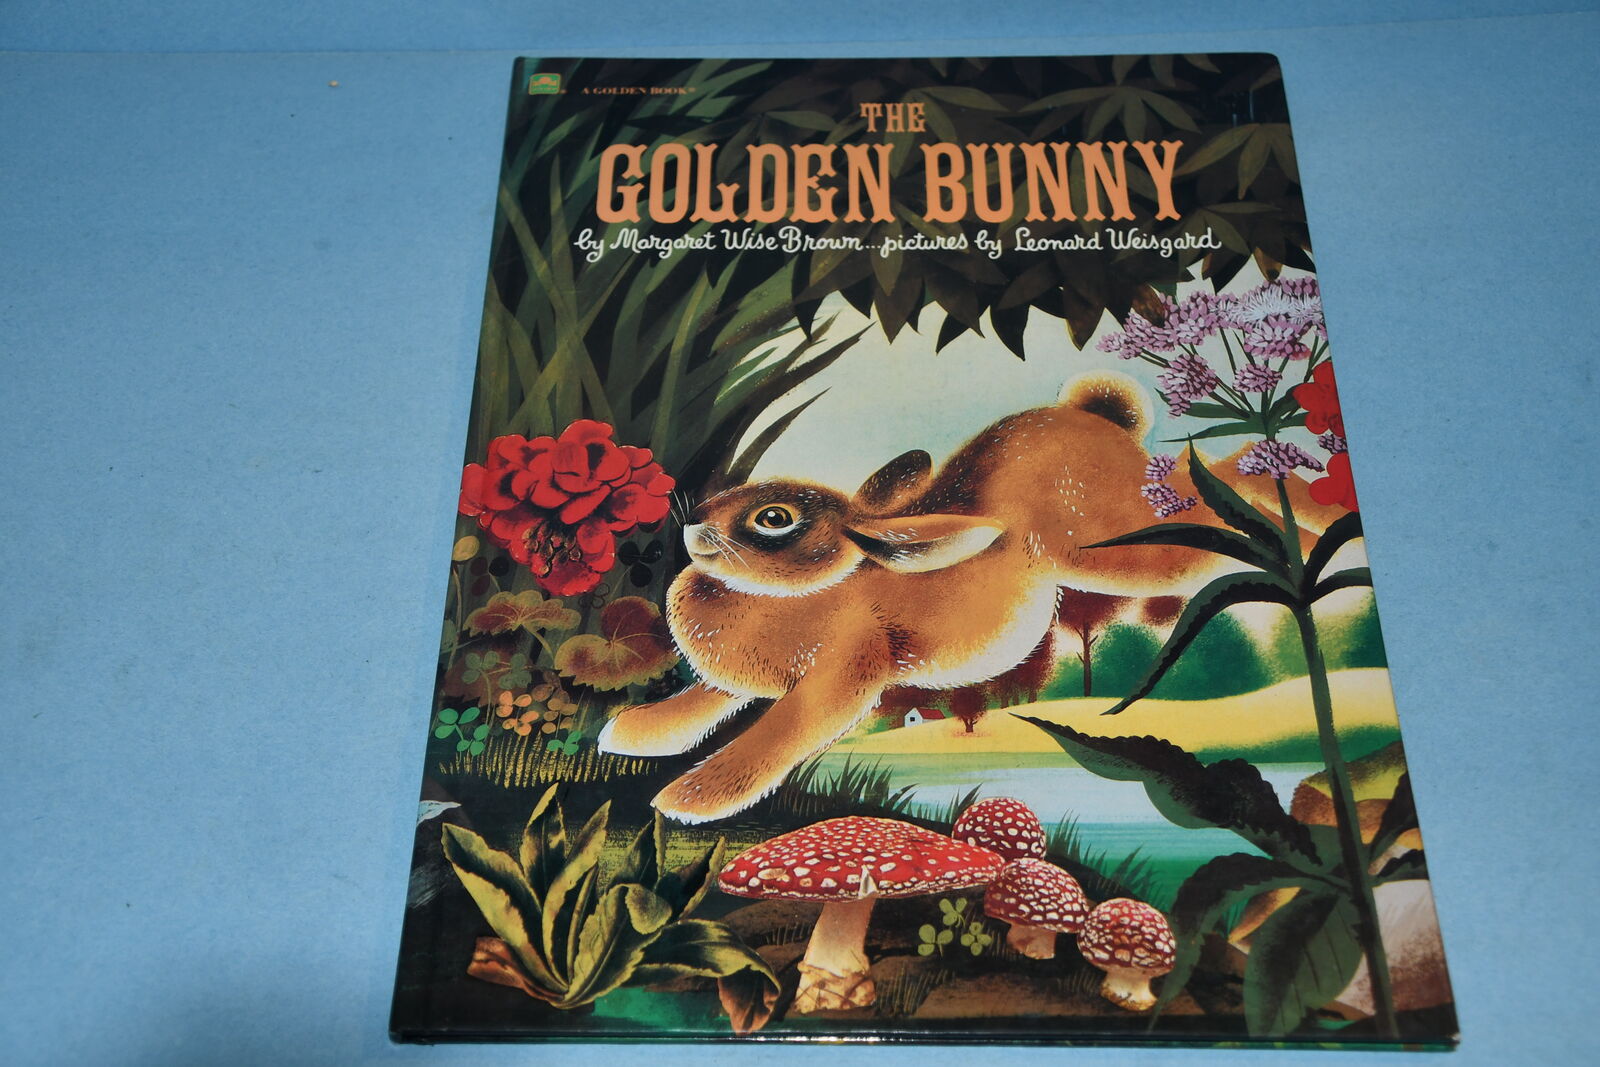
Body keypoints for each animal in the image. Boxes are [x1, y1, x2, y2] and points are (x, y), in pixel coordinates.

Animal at [598, 373, 1342, 823]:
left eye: (774, 518)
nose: (692, 524)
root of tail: (1099, 419)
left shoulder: (839, 677)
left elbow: (774, 735)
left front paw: (689, 797)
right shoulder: (735, 683)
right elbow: (701, 700)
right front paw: (634, 731)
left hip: (1120, 545)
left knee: (1213, 493)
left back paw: (1302, 509)